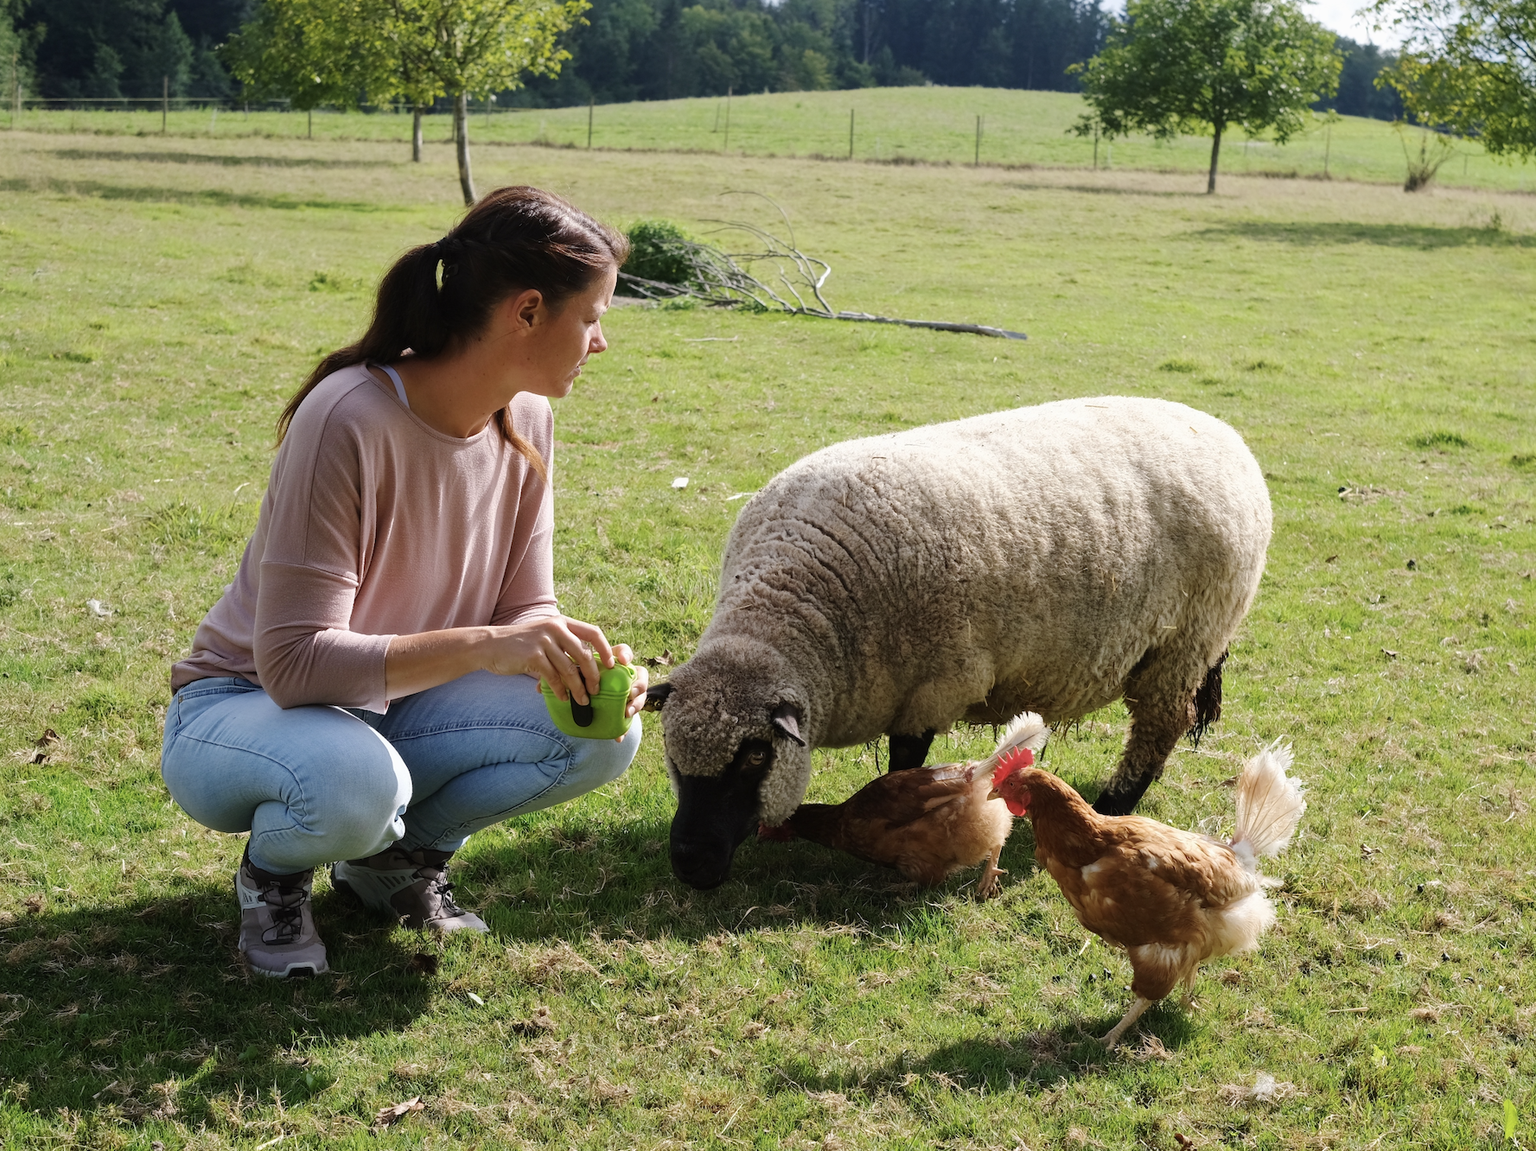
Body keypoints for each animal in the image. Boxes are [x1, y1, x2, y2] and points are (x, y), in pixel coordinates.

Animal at [645, 396, 1271, 891]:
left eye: (754, 756)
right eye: (671, 754)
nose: (690, 863)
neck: (798, 604)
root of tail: (1223, 433)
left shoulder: (935, 684)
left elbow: (904, 764)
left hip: (1186, 640)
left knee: (1158, 727)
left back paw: (1114, 805)